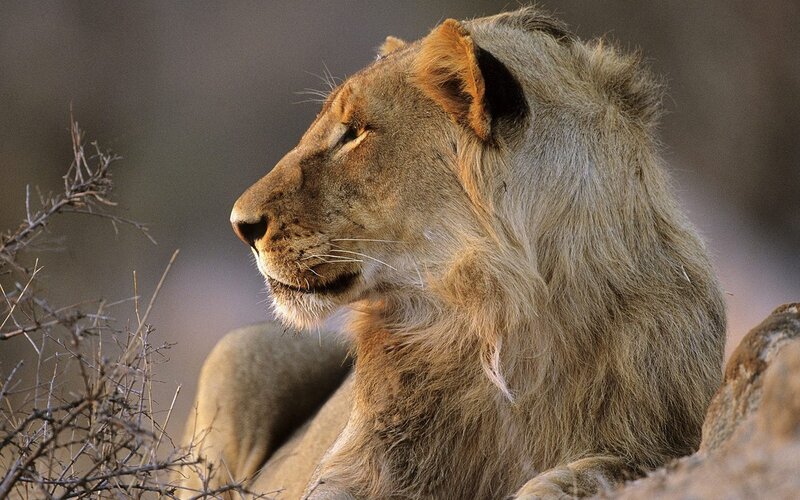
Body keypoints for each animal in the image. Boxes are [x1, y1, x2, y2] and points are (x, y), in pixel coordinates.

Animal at [177, 7, 726, 498]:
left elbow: (581, 474)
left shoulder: (661, 442)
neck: (495, 318)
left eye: (355, 132)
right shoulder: (357, 470)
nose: (240, 225)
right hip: (241, 350)